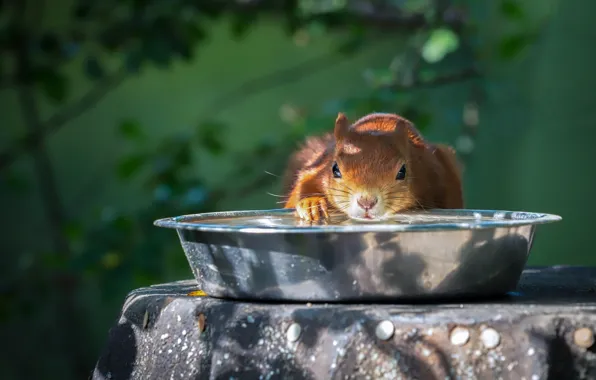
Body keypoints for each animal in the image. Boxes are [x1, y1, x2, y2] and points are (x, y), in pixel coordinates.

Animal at [282, 111, 464, 221]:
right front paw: (311, 204)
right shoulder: (314, 171)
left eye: (402, 172)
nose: (366, 202)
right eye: (335, 169)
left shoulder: (434, 173)